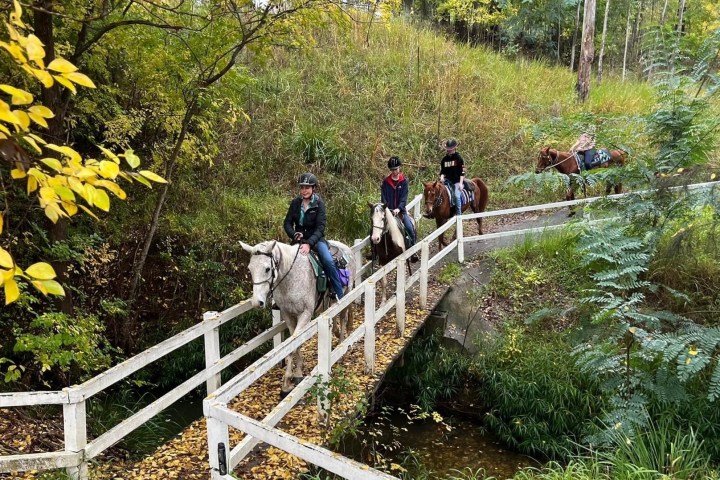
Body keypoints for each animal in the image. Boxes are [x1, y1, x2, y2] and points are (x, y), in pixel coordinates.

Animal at [239, 239, 355, 395]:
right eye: (250, 269)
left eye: (267, 269)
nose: (257, 302)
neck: (291, 278)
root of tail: (345, 247)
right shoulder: (288, 316)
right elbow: (295, 342)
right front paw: (297, 374)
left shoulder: (305, 315)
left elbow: (293, 345)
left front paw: (286, 382)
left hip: (347, 292)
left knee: (343, 316)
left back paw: (342, 342)